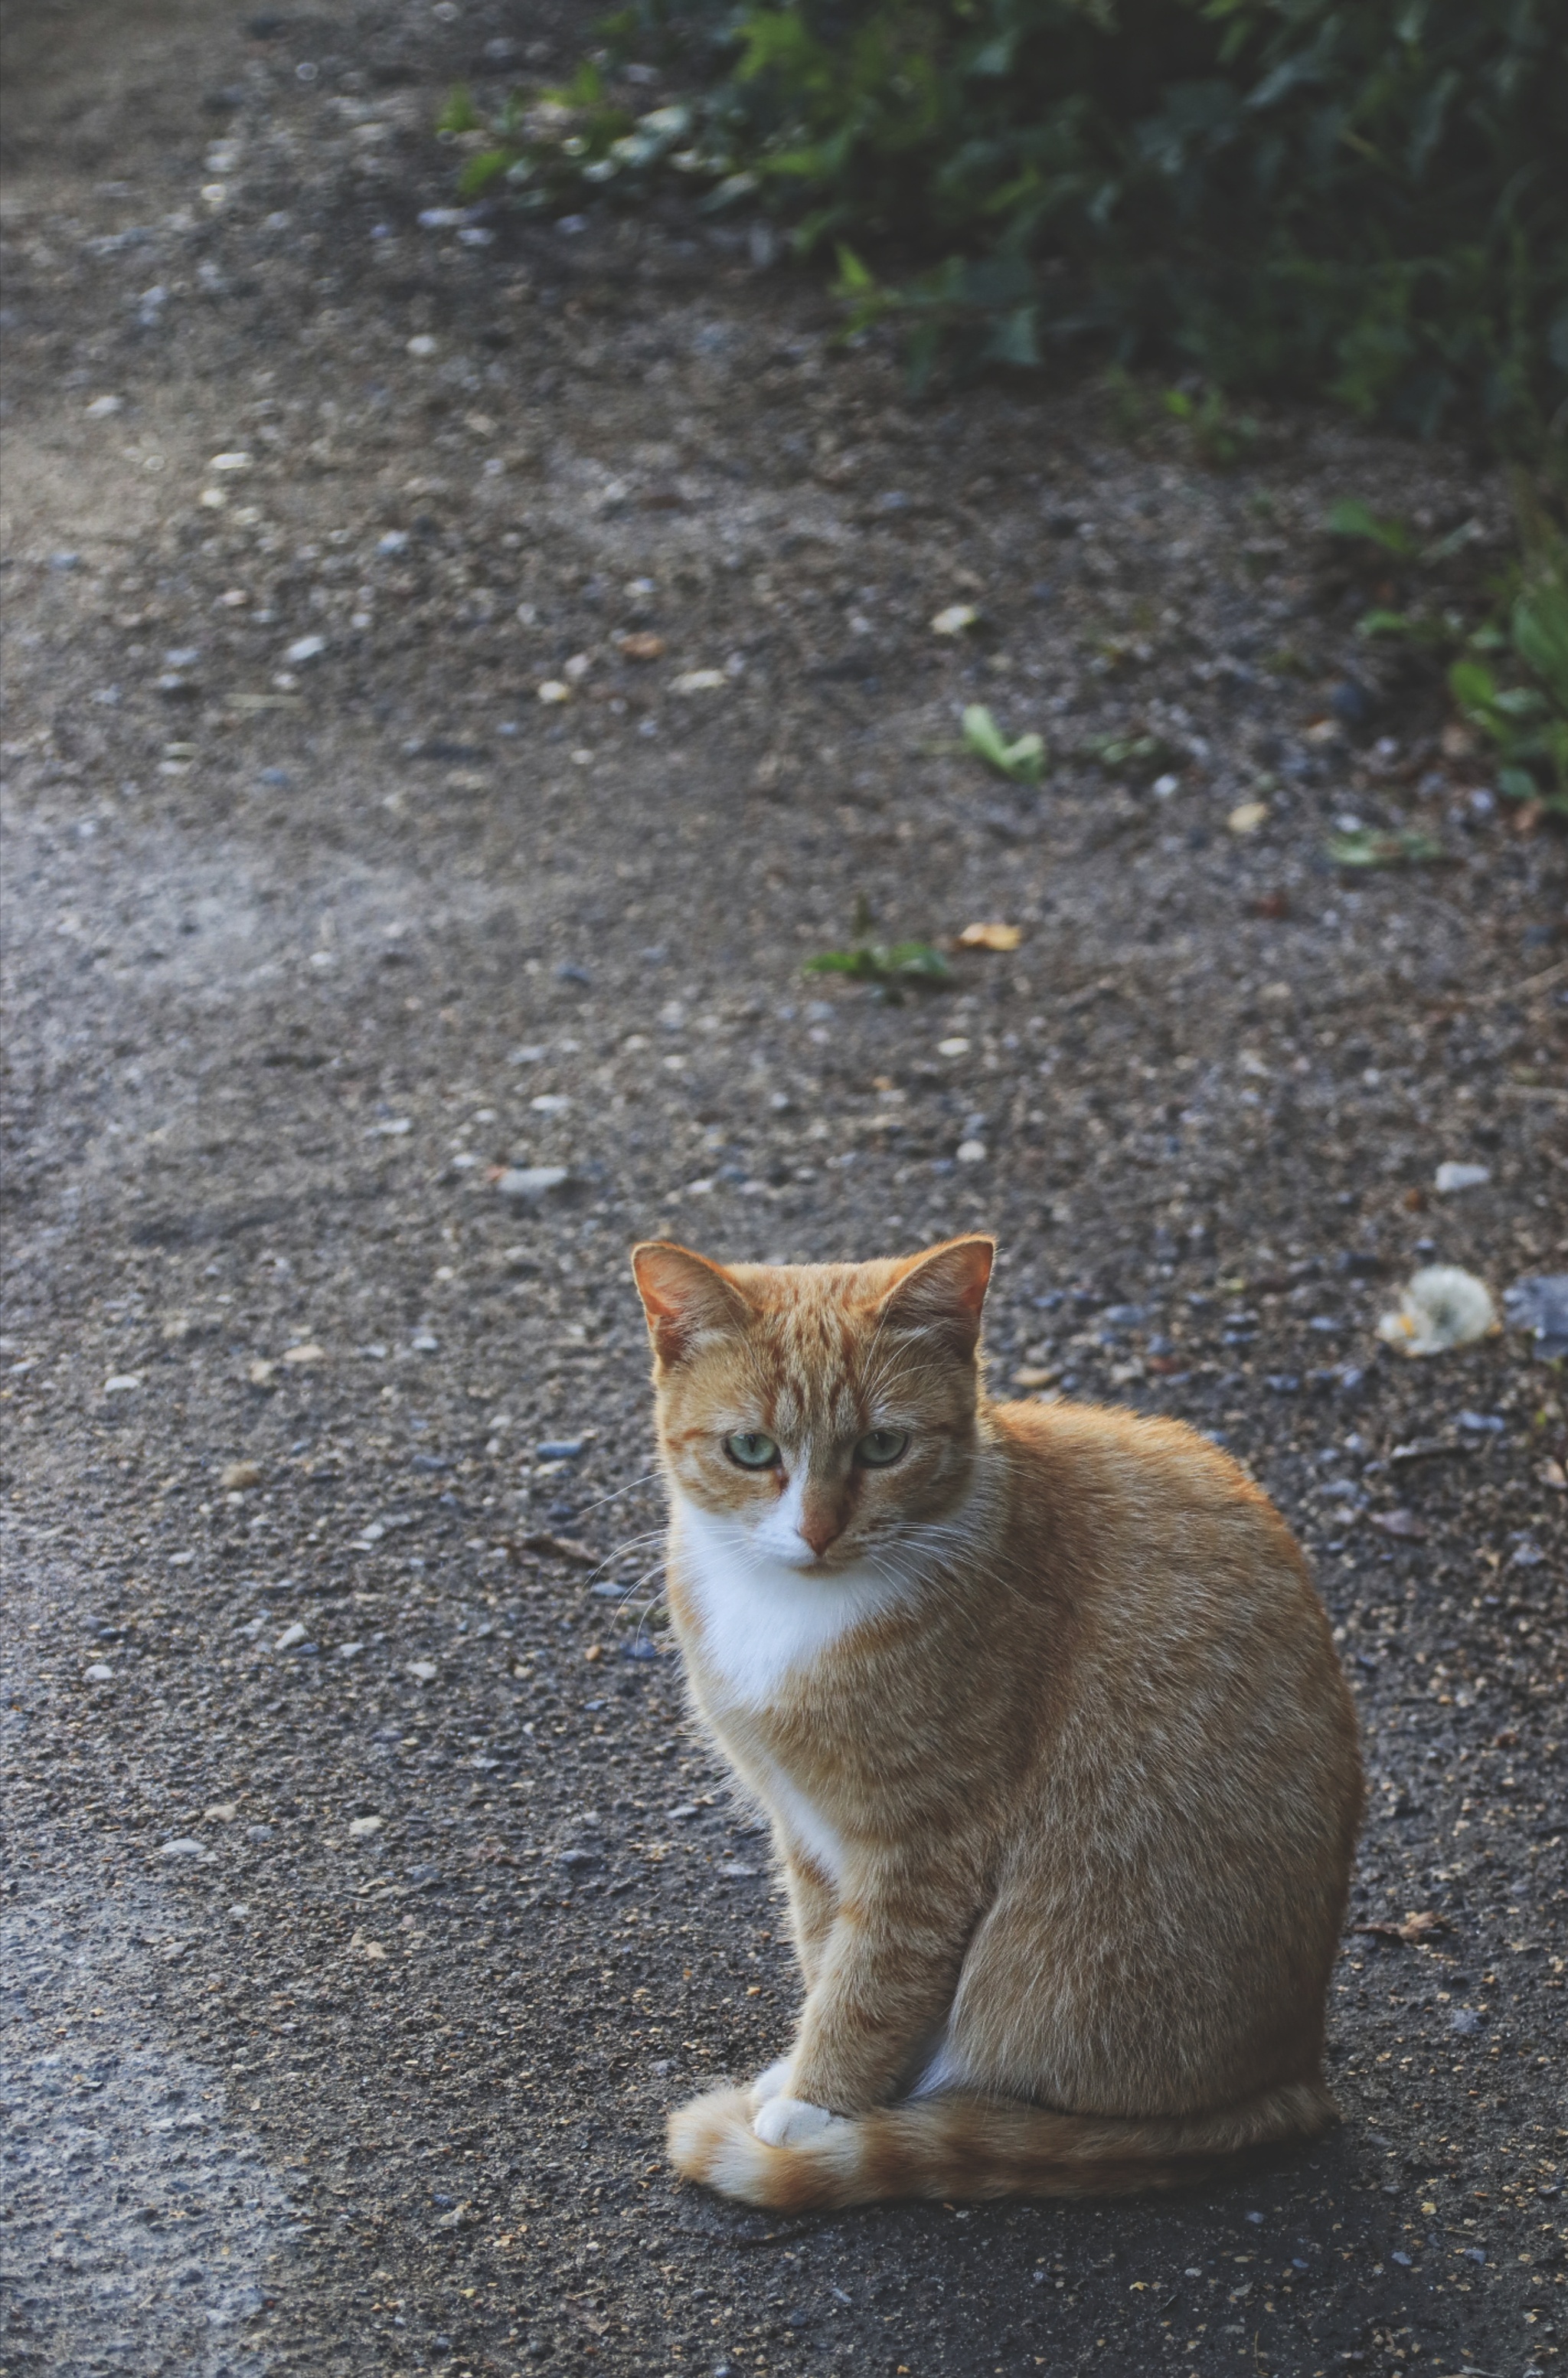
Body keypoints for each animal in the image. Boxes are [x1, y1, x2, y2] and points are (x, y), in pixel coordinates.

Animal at [632, 1227, 1368, 2206]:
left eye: (883, 1447)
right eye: (751, 1449)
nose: (817, 1532)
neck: (792, 1611)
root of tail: (1290, 2082)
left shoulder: (926, 1846)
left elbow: (872, 1981)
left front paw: (818, 2105)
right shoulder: (806, 1828)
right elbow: (825, 1950)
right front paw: (809, 2076)